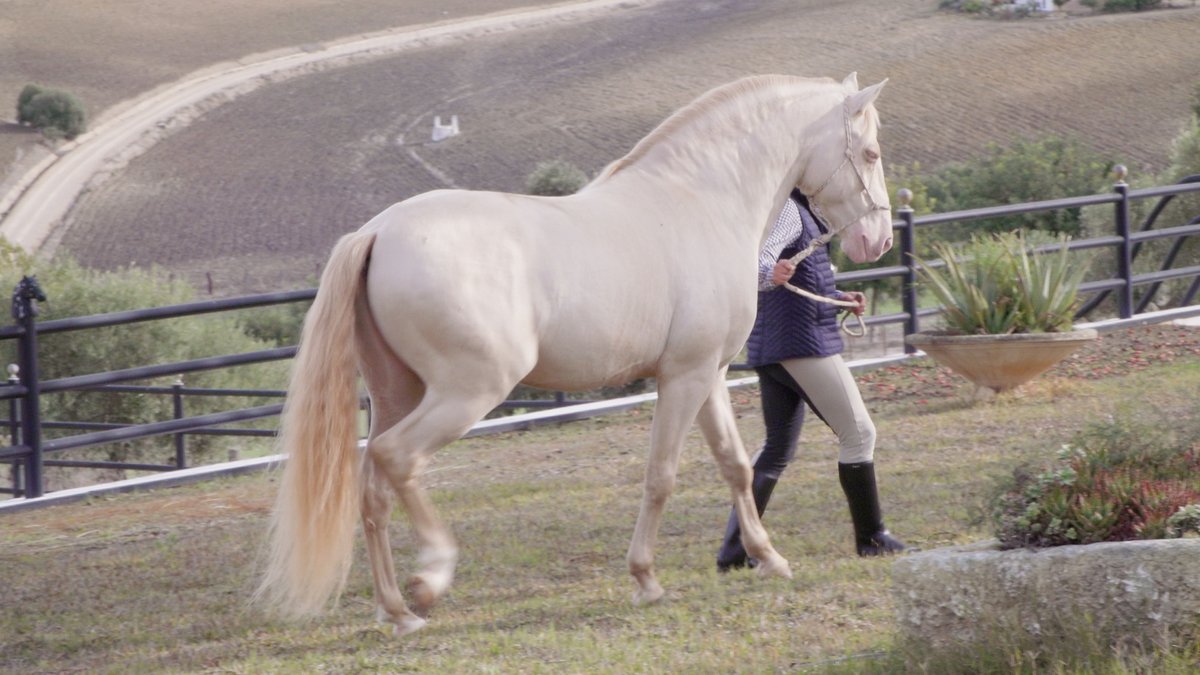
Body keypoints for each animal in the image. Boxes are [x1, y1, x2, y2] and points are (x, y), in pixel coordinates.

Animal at [256, 72, 894, 636]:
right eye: (869, 152)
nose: (878, 240)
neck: (700, 201)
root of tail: (378, 233)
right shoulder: (682, 379)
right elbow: (661, 475)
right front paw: (646, 579)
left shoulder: (705, 374)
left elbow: (735, 465)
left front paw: (768, 557)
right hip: (468, 393)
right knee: (398, 459)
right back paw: (431, 577)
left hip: (398, 394)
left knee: (373, 485)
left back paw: (397, 611)